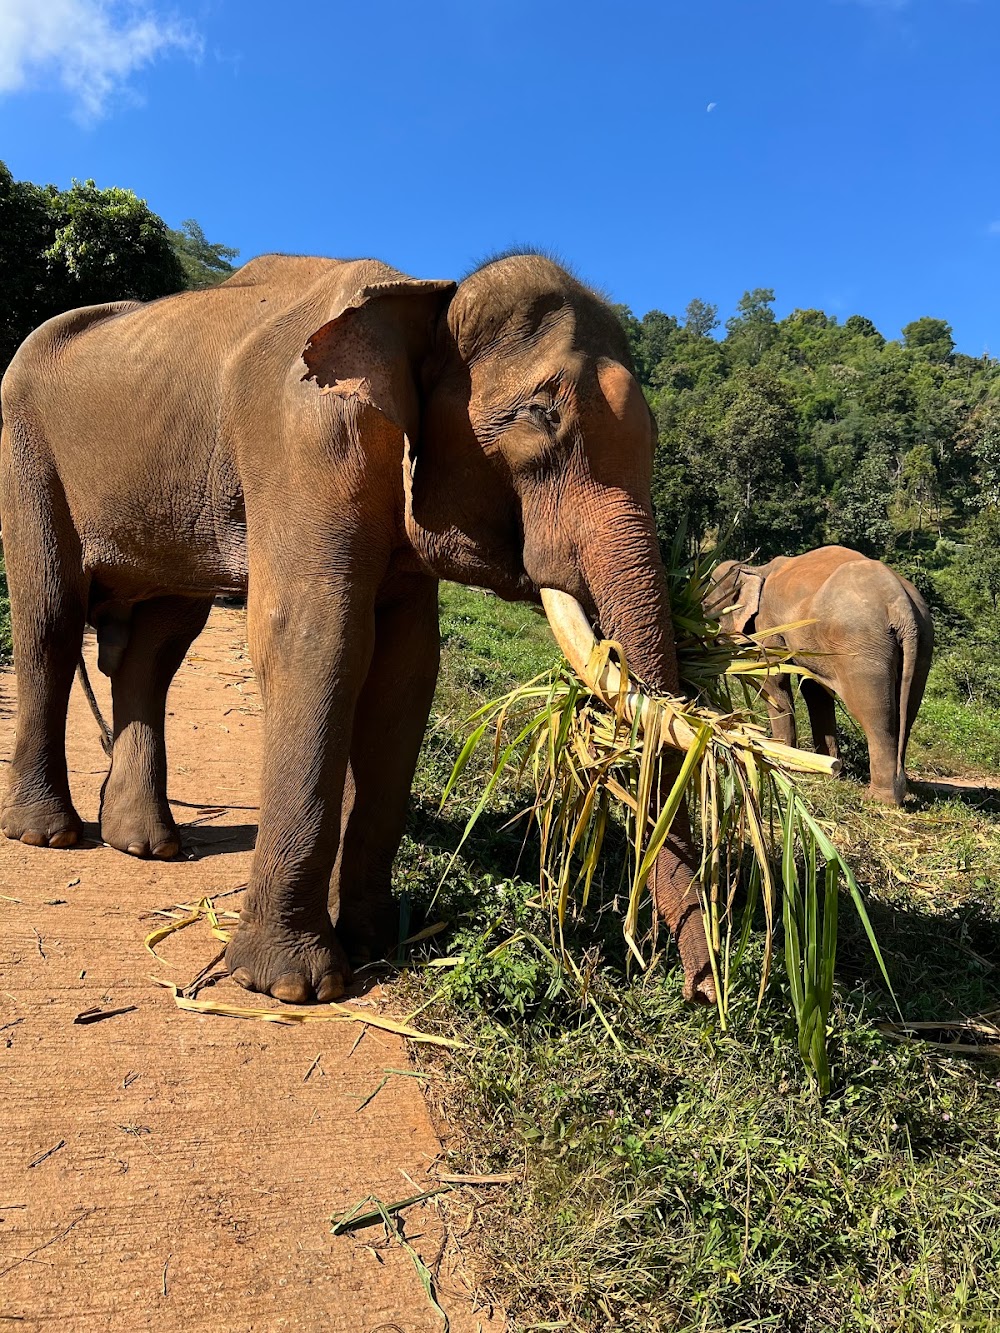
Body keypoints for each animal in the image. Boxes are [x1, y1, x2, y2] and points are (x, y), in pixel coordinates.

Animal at [3, 254, 714, 1002]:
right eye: (541, 415)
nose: (699, 989)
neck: (426, 299)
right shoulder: (305, 446)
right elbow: (317, 641)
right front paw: (292, 987)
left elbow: (406, 670)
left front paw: (375, 944)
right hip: (25, 453)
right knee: (50, 618)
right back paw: (49, 835)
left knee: (157, 644)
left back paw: (146, 844)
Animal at [709, 541, 938, 799]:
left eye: (706, 605)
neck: (756, 568)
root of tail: (901, 605)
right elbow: (815, 691)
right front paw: (828, 770)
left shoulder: (768, 624)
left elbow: (775, 681)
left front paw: (783, 761)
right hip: (922, 643)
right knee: (907, 710)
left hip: (861, 648)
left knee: (876, 714)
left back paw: (880, 798)